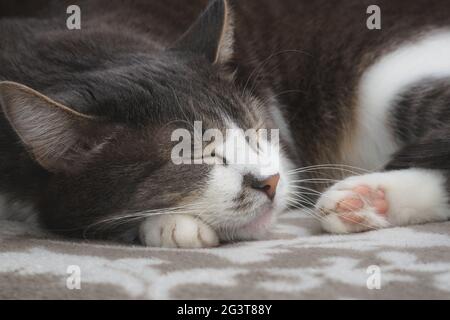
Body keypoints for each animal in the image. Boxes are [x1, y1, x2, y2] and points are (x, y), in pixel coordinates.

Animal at [0, 0, 448, 248]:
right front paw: (172, 224)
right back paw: (366, 201)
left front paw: (169, 226)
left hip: (386, 79)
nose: (270, 182)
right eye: (188, 156)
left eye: (255, 130)